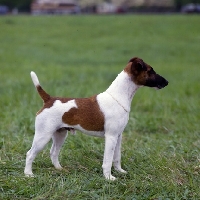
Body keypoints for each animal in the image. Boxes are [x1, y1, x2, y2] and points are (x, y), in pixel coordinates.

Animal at [24, 57, 168, 180]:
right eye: (150, 70)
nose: (167, 82)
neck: (118, 96)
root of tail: (49, 100)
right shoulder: (111, 137)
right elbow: (108, 160)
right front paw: (109, 178)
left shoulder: (118, 136)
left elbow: (117, 157)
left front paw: (120, 171)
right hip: (43, 136)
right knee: (30, 154)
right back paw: (28, 174)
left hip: (60, 134)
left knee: (53, 152)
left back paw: (60, 169)